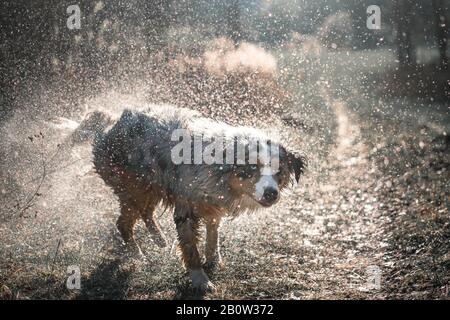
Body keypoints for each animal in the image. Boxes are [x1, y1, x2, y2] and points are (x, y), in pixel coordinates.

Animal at [81, 104, 306, 292]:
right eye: (252, 168)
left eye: (279, 171)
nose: (271, 193)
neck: (217, 168)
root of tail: (111, 124)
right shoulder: (186, 209)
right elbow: (190, 248)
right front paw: (200, 280)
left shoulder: (213, 204)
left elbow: (213, 235)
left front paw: (213, 261)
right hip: (136, 188)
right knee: (123, 222)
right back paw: (138, 254)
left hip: (152, 187)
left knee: (146, 212)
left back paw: (159, 238)